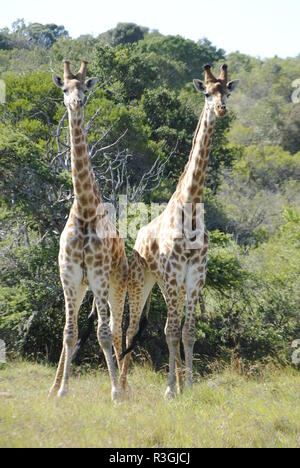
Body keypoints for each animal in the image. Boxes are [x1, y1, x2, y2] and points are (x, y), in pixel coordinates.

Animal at [119, 62, 239, 398]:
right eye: (207, 93)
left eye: (226, 92)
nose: (221, 109)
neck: (191, 207)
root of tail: (137, 239)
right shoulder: (173, 276)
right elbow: (170, 332)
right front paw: (171, 390)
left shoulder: (195, 277)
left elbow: (189, 332)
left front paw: (190, 386)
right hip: (142, 281)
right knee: (130, 328)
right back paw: (122, 387)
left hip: (163, 285)